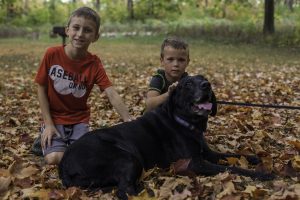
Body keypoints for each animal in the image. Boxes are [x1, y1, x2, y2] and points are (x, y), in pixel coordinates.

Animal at [59, 76, 274, 199]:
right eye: (188, 84)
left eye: (204, 79)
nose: (207, 85)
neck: (186, 123)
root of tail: (63, 163)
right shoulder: (194, 163)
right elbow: (231, 168)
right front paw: (263, 174)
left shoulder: (209, 154)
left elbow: (232, 155)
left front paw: (253, 158)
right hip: (127, 157)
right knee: (124, 191)